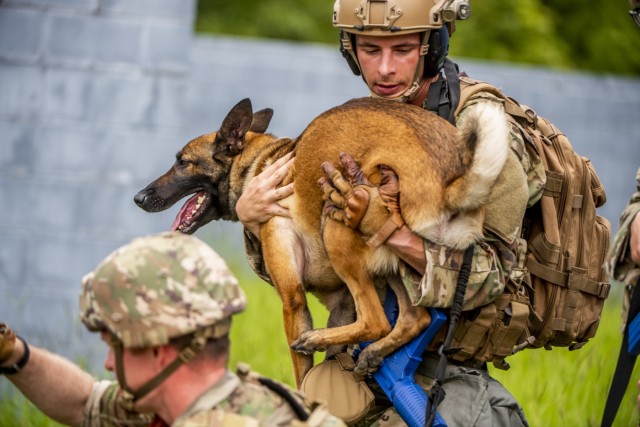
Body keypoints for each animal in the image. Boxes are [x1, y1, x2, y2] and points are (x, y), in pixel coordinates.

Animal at [135, 98, 510, 390]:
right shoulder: (339, 302)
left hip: (337, 224)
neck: (263, 164)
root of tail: (451, 180)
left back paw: (318, 338)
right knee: (412, 317)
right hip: (391, 266)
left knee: (376, 320)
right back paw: (374, 351)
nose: (139, 197)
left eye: (182, 162)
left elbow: (302, 374)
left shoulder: (292, 300)